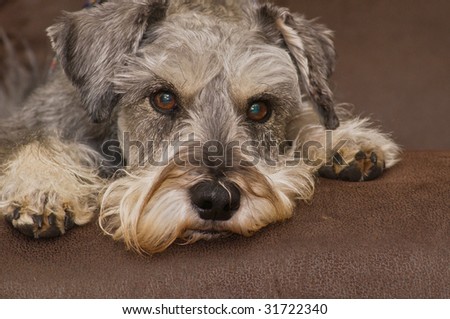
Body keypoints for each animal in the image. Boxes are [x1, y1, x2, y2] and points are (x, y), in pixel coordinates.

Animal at [0, 0, 400, 255]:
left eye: (260, 108)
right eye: (163, 98)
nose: (217, 200)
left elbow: (302, 115)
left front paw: (344, 138)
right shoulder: (31, 124)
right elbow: (34, 142)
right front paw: (44, 188)